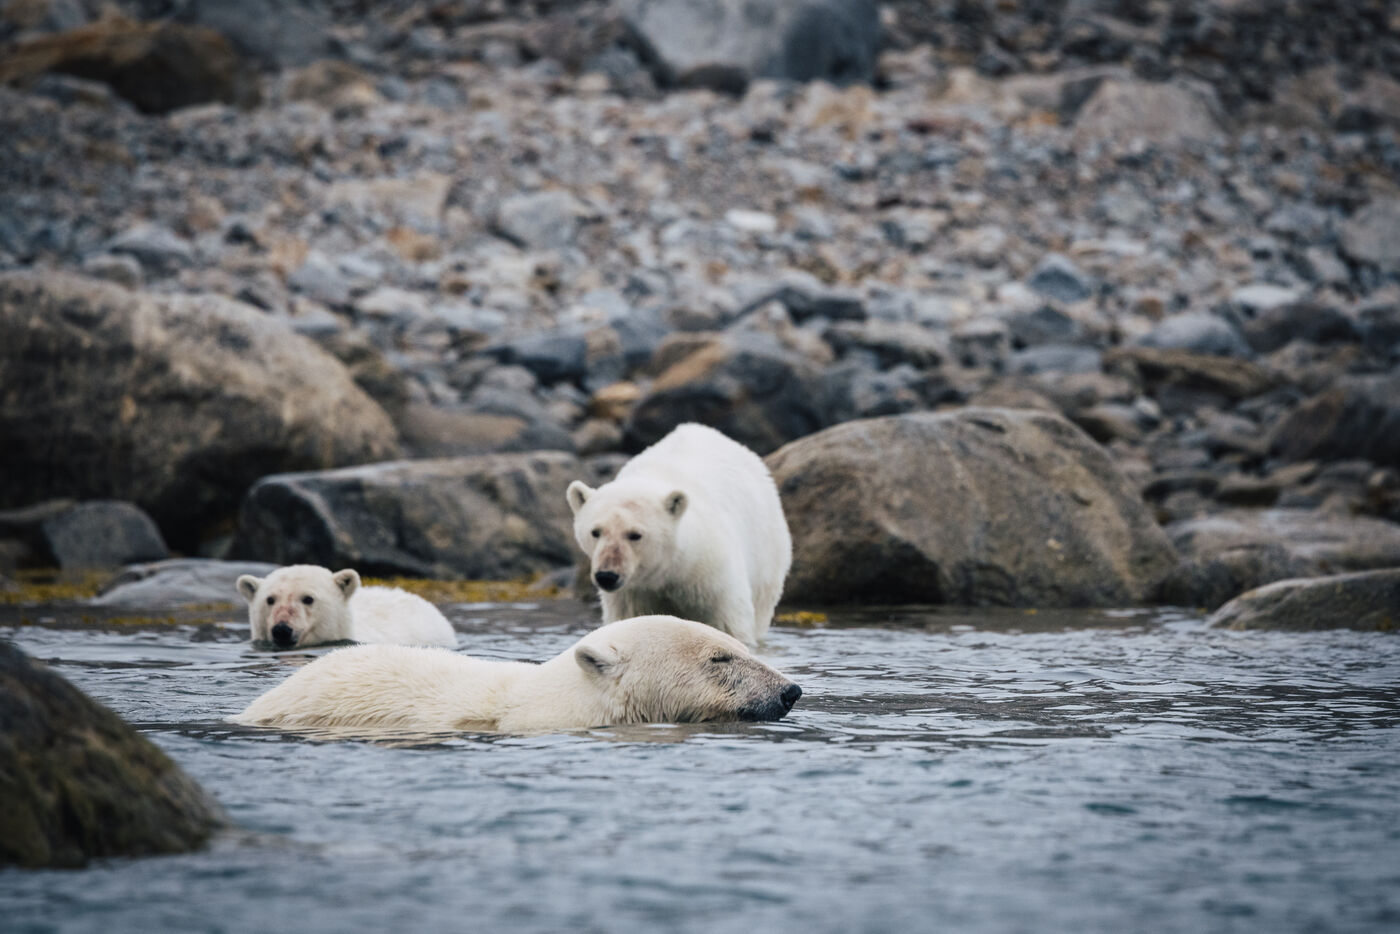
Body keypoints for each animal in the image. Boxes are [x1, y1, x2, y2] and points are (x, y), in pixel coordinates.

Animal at [565, 423, 791, 646]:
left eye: (635, 535)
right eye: (595, 532)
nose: (607, 576)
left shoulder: (713, 577)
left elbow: (728, 627)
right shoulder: (631, 593)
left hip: (766, 550)